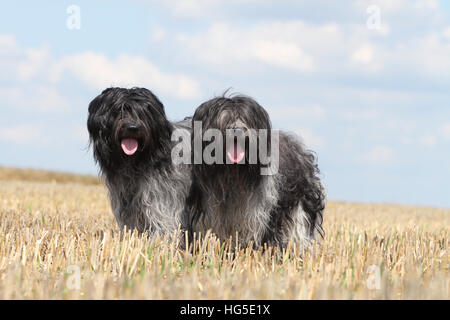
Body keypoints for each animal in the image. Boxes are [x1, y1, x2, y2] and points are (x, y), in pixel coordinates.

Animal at [185, 94, 326, 249]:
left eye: (245, 118)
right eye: (225, 118)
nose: (238, 130)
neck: (232, 175)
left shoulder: (263, 217)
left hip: (302, 205)